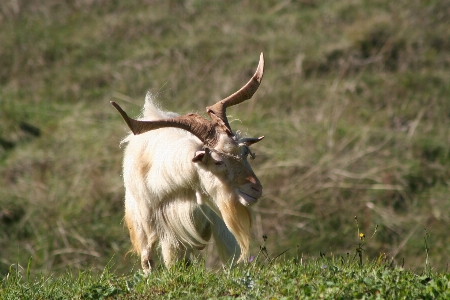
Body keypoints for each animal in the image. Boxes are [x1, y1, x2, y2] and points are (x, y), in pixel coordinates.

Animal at [112, 53, 266, 272]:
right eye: (217, 161)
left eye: (244, 152)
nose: (255, 189)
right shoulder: (156, 227)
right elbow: (150, 261)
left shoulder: (218, 222)